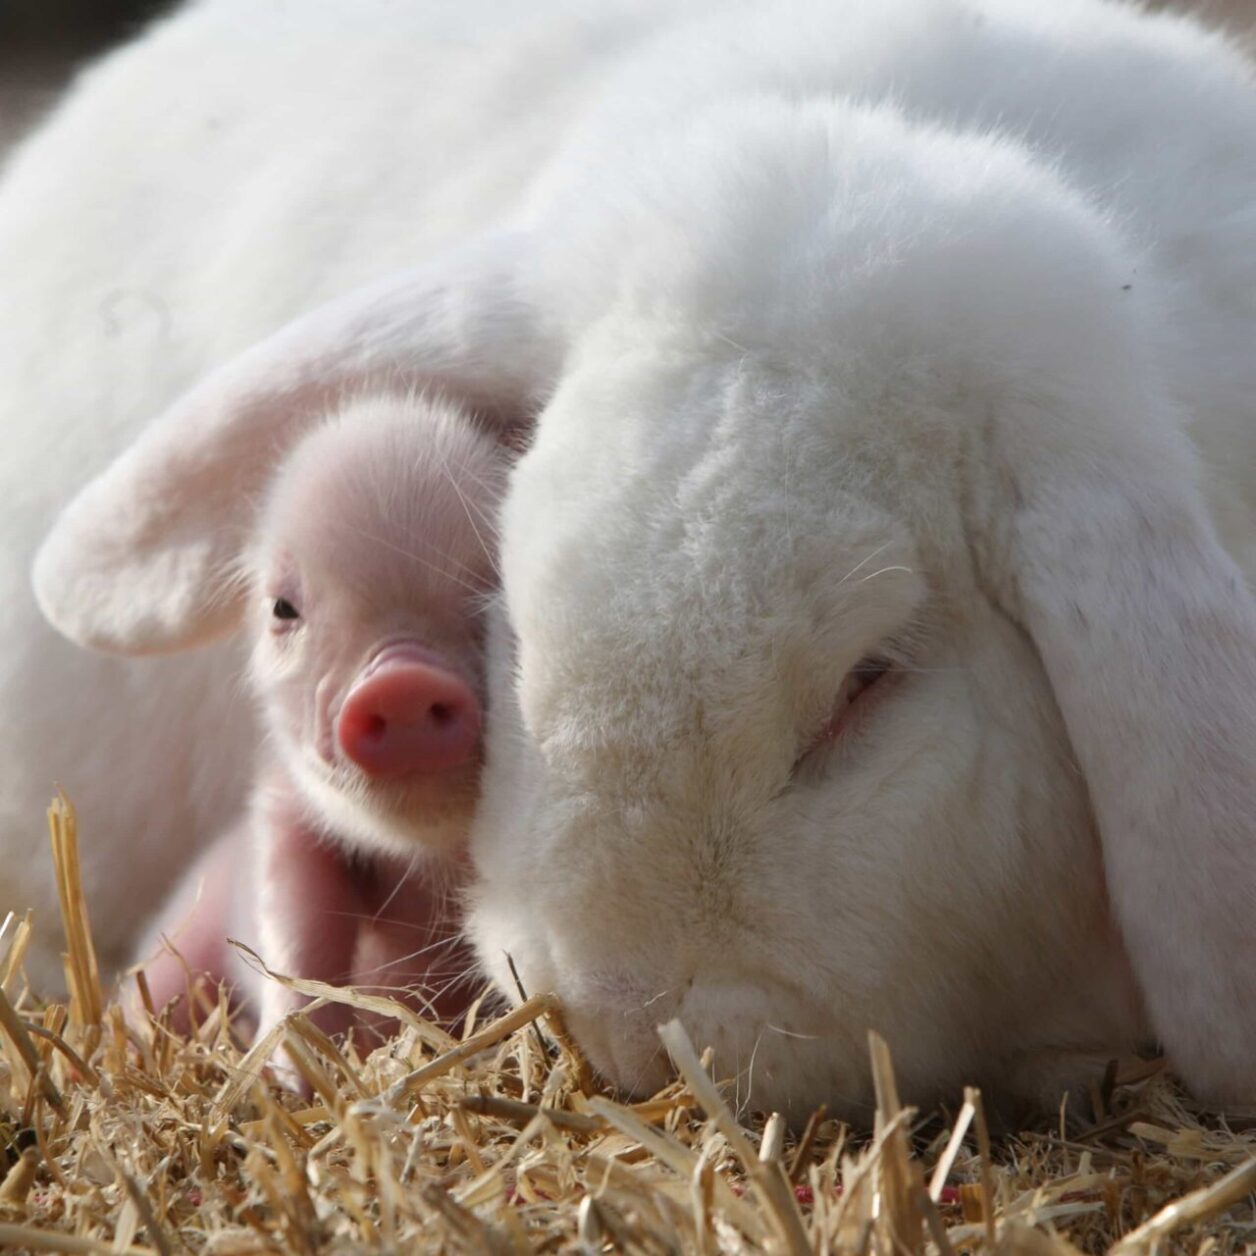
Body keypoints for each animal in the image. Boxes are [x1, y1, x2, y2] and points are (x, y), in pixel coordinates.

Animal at [133, 392, 504, 1051]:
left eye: (492, 584)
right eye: (284, 608)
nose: (401, 682)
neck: (422, 857)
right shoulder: (283, 809)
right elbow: (298, 932)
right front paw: (298, 1065)